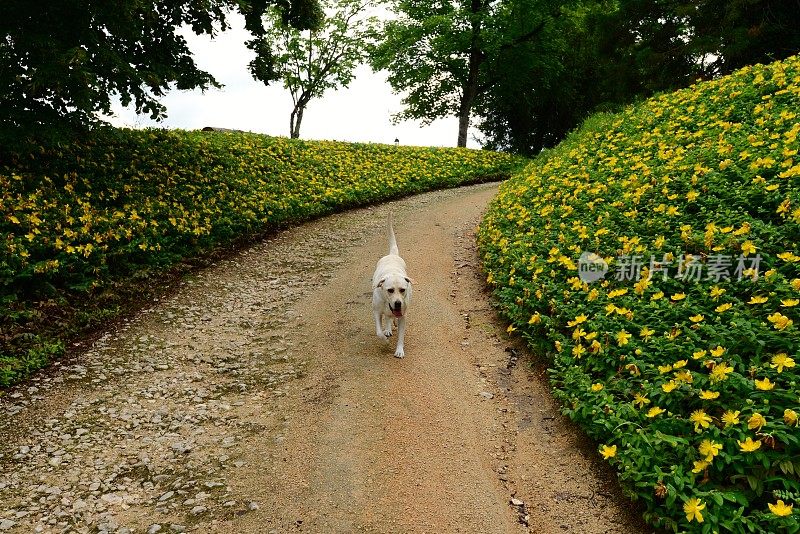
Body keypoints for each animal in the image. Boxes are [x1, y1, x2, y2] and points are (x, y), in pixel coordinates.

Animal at [374, 215, 416, 360]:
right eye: (390, 290)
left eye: (403, 290)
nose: (398, 303)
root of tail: (392, 255)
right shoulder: (376, 311)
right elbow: (379, 332)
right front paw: (385, 341)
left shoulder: (403, 316)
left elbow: (401, 336)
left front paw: (399, 350)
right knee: (387, 317)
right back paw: (387, 329)